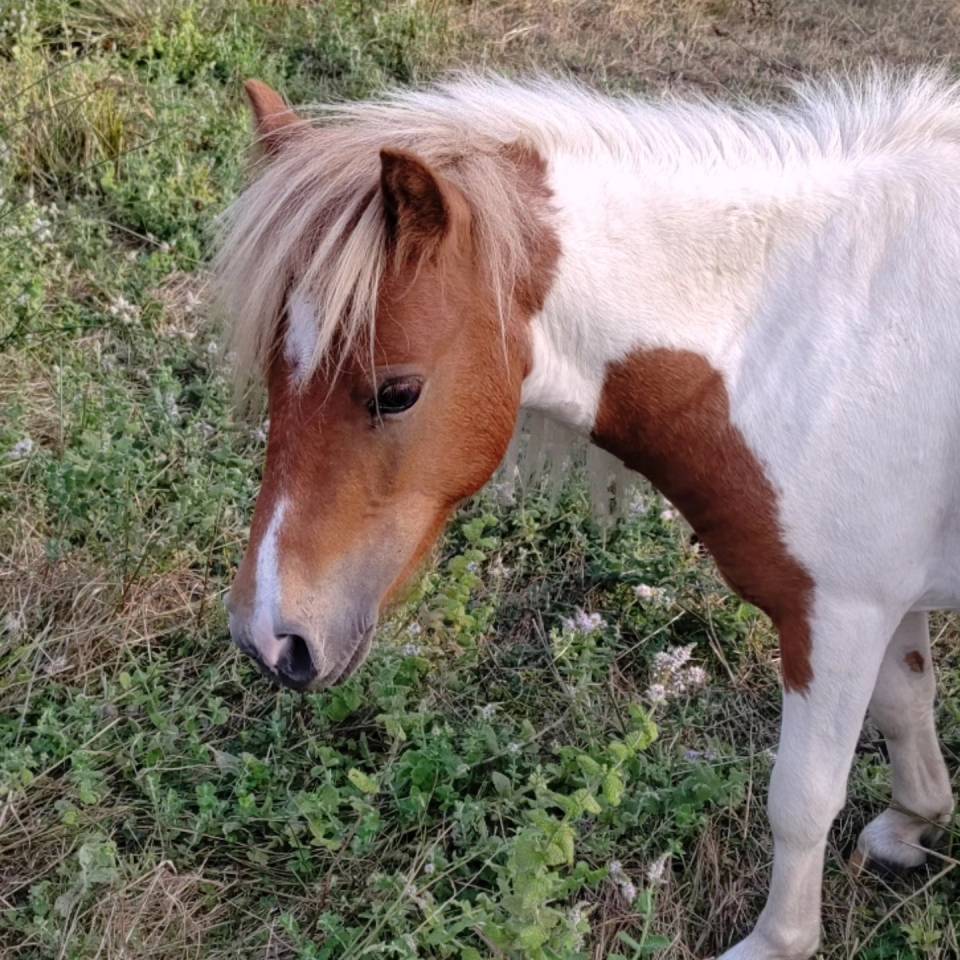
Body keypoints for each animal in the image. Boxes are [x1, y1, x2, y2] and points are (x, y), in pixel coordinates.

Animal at [215, 70, 959, 959]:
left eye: (396, 392)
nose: (269, 638)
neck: (811, 340)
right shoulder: (884, 600)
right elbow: (907, 707)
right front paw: (914, 824)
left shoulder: (837, 613)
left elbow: (803, 797)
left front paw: (778, 941)